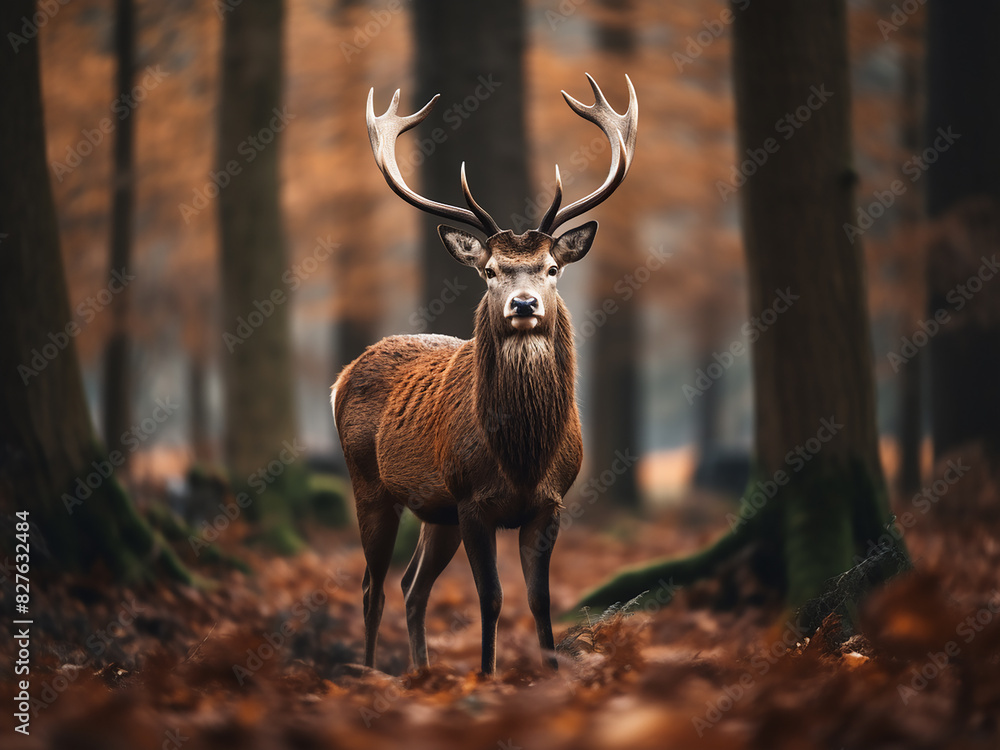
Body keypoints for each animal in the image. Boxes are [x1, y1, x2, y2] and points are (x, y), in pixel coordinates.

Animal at [331, 74, 637, 675]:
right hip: (370, 483)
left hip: (436, 511)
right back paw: (371, 674)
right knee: (372, 587)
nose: (523, 304)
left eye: (552, 268)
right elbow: (491, 598)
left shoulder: (548, 503)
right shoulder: (473, 501)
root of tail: (341, 376)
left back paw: (421, 673)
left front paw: (549, 673)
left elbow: (540, 600)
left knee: (411, 586)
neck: (522, 456)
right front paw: (487, 674)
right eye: (491, 271)